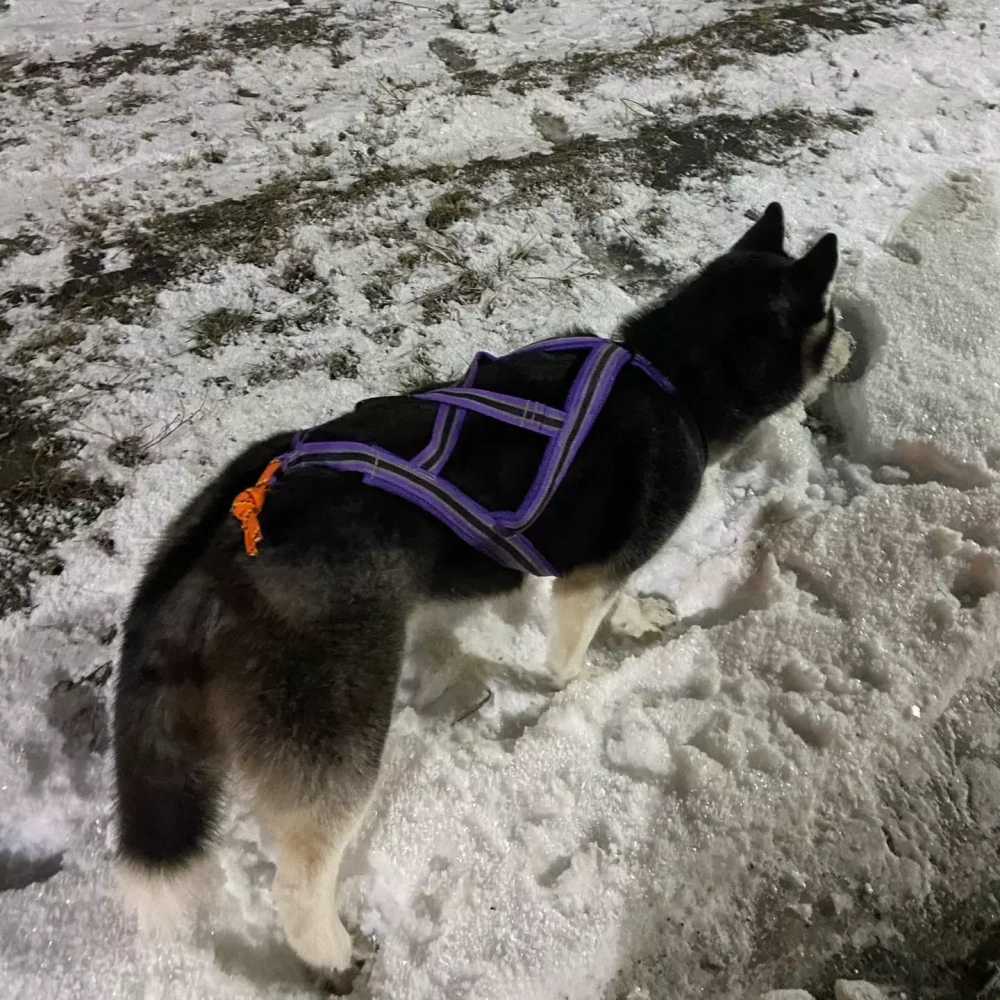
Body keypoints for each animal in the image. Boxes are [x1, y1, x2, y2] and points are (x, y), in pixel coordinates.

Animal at [113, 203, 845, 977]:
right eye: (832, 317)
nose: (858, 344)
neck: (676, 375)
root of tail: (233, 525)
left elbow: (618, 603)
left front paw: (637, 615)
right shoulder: (587, 581)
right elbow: (571, 655)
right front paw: (581, 685)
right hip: (339, 731)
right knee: (300, 878)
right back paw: (334, 951)